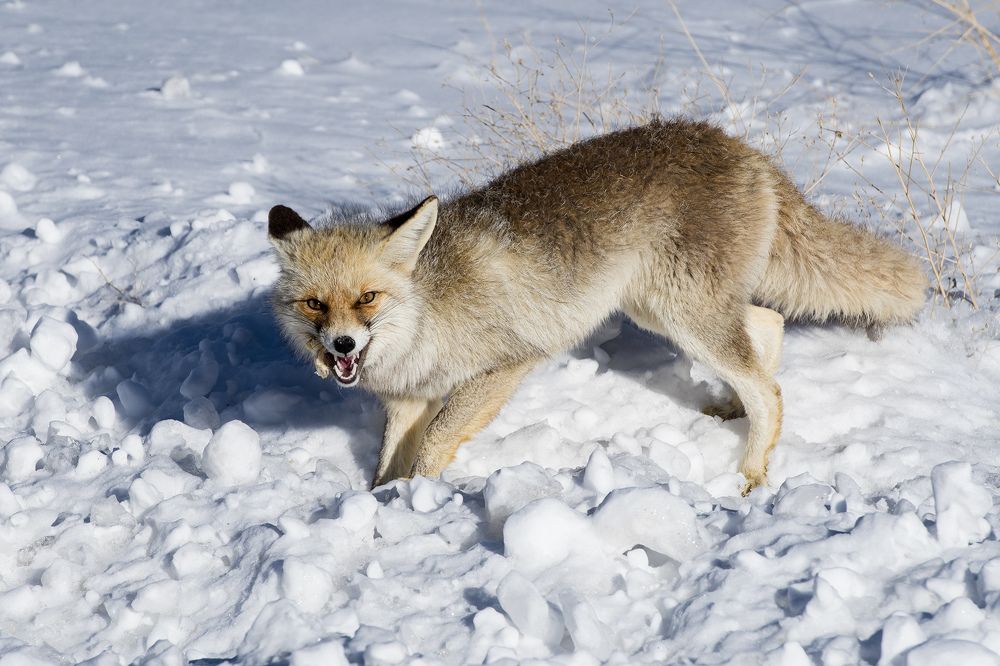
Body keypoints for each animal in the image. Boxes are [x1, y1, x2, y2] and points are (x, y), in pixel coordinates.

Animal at [268, 118, 926, 494]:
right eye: (315, 305)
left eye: (367, 298)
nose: (342, 347)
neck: (427, 315)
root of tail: (740, 146)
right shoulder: (408, 399)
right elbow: (385, 466)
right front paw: (377, 503)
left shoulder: (503, 367)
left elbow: (429, 452)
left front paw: (415, 505)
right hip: (663, 310)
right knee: (768, 327)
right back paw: (731, 411)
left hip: (684, 312)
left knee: (770, 389)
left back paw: (753, 475)